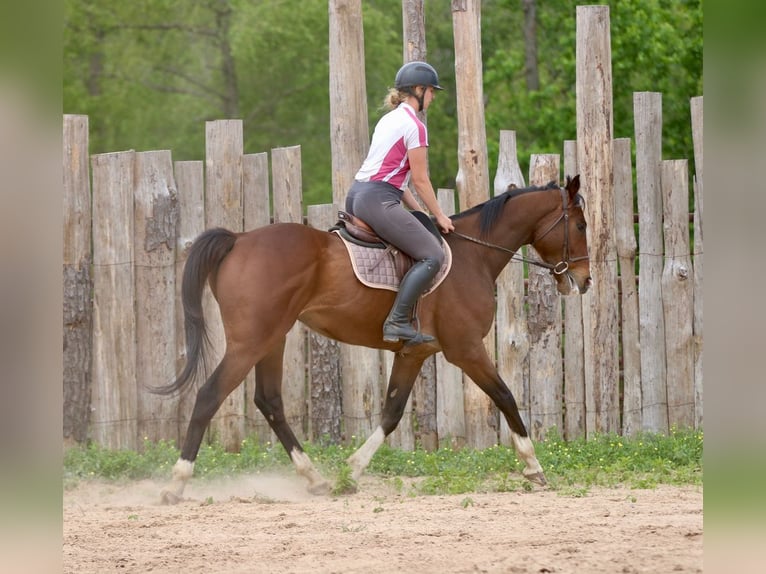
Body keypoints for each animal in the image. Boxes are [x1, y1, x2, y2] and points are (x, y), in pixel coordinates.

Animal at [156, 175, 592, 504]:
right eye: (581, 225)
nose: (584, 280)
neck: (474, 256)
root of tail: (239, 239)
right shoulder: (466, 349)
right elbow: (505, 396)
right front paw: (534, 466)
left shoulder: (415, 353)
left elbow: (391, 413)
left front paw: (351, 472)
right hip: (249, 343)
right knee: (209, 395)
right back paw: (176, 483)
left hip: (272, 339)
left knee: (270, 401)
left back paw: (315, 479)